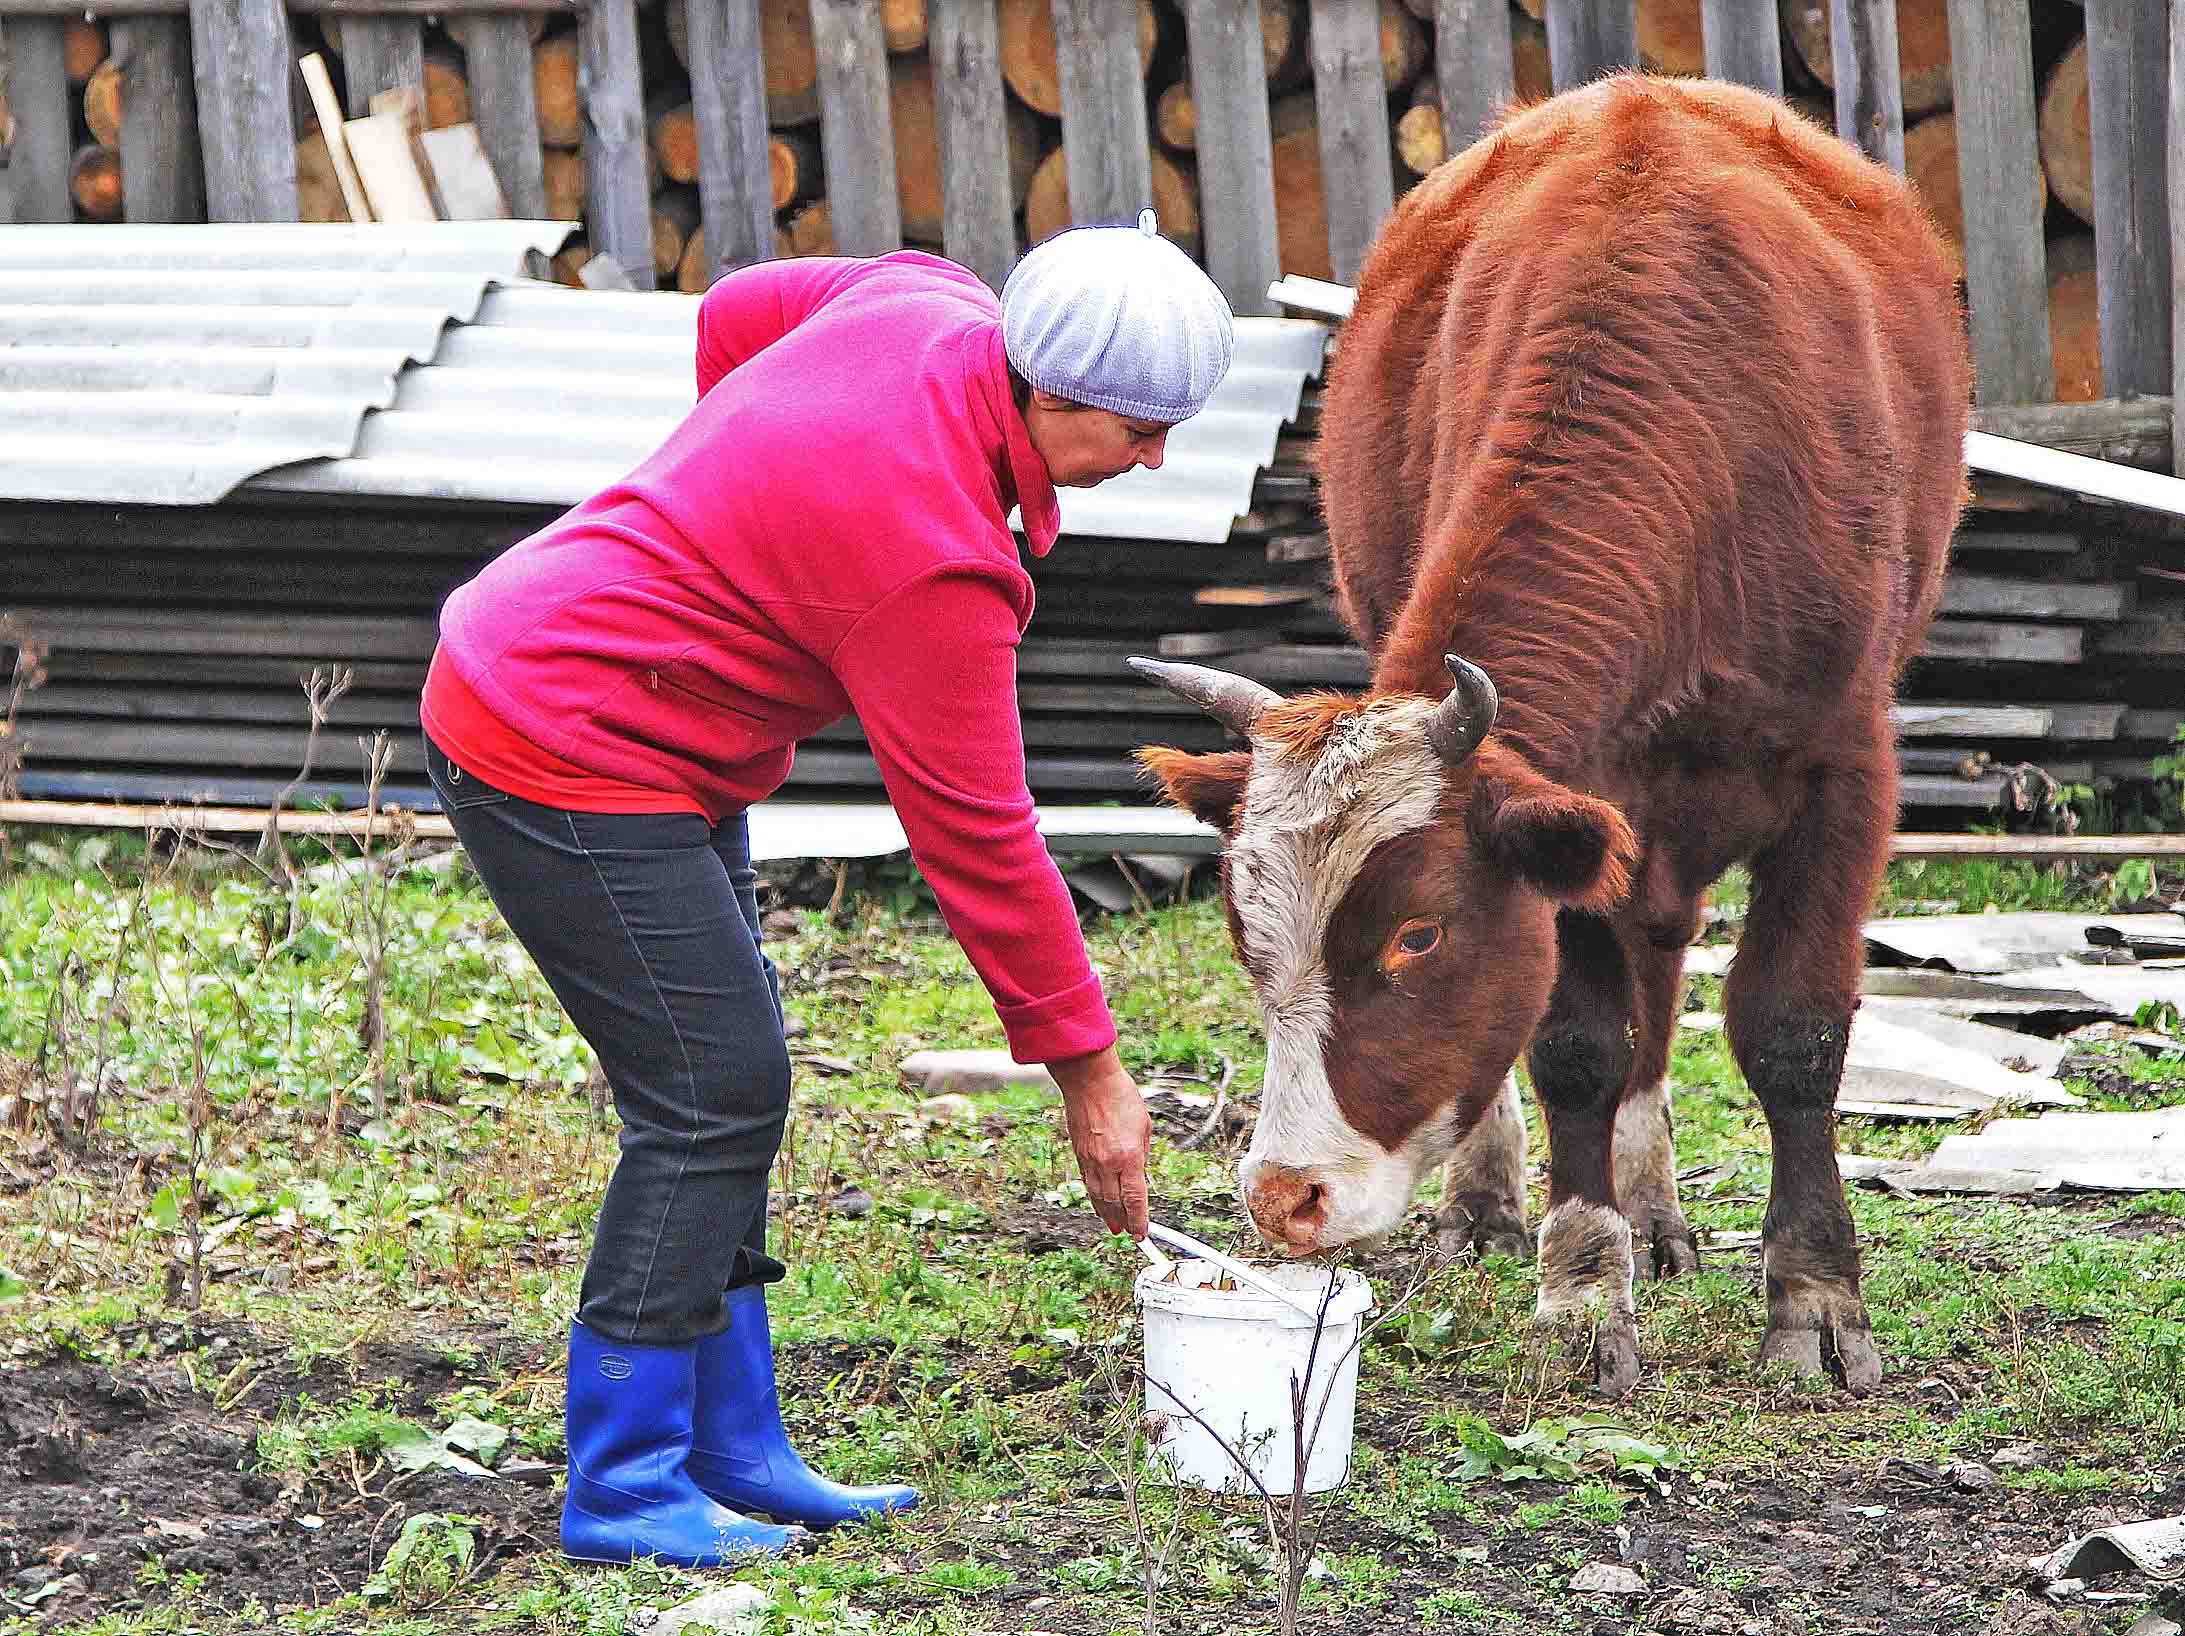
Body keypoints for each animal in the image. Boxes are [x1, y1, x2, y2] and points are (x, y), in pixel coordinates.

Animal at [1136, 76, 1975, 1397]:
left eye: (1417, 935)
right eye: (1241, 936)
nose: (1284, 1197)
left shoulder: (1842, 770)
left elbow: (1792, 1032)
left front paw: (1814, 1293)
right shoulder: (1572, 798)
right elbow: (1575, 1040)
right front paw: (1583, 1286)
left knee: (1666, 957)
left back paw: (1659, 1207)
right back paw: (1495, 1205)